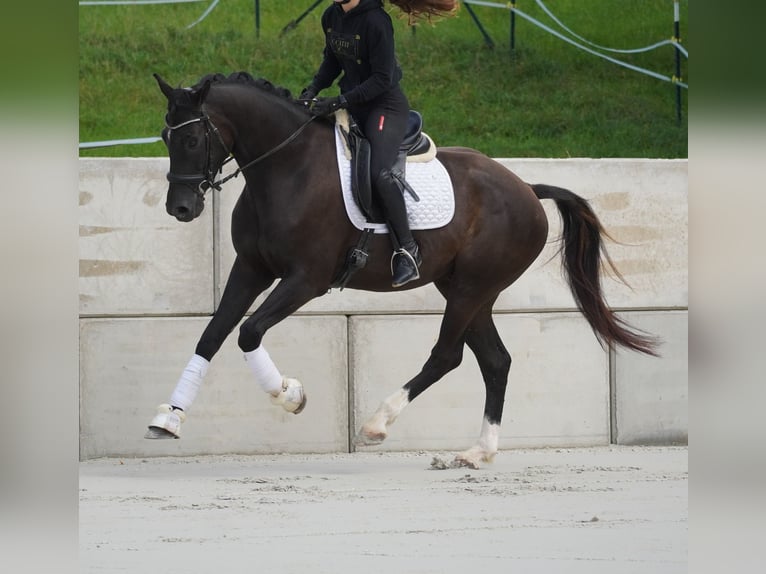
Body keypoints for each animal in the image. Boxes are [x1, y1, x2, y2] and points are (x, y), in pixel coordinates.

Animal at [150, 72, 660, 468]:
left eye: (192, 138)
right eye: (166, 138)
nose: (180, 207)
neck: (287, 167)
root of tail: (527, 189)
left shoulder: (306, 280)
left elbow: (249, 331)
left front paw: (290, 395)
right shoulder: (250, 268)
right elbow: (213, 335)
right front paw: (169, 418)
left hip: (472, 287)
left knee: (447, 355)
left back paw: (378, 423)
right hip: (467, 289)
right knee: (495, 361)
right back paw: (478, 452)